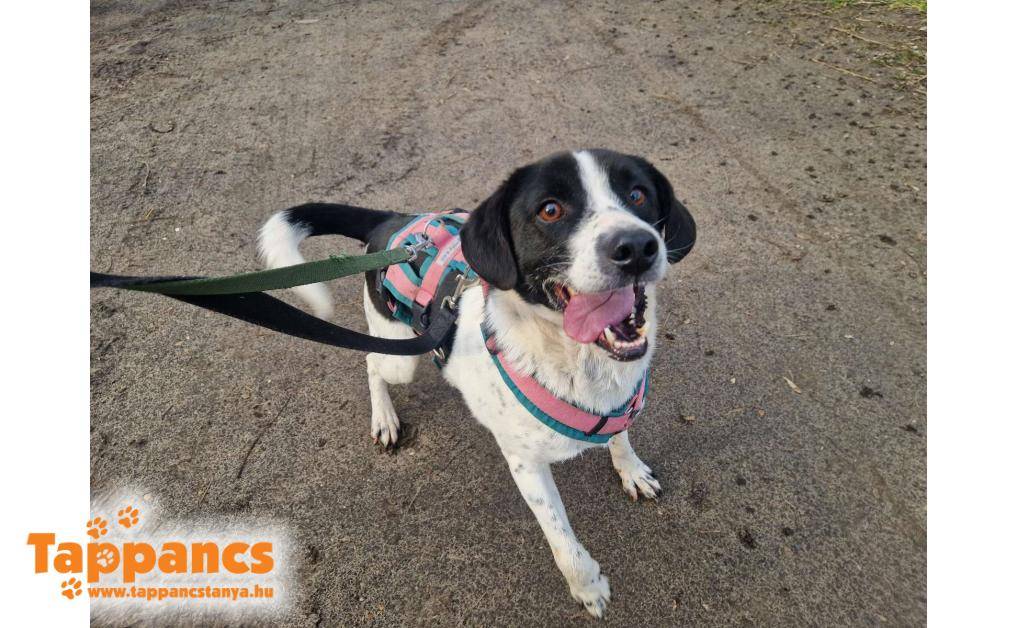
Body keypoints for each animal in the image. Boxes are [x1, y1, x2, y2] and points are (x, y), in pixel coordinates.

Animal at [257, 149, 696, 617]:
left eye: (638, 194)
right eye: (550, 209)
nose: (636, 248)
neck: (577, 360)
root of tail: (393, 222)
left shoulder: (620, 400)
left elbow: (620, 436)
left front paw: (630, 470)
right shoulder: (526, 465)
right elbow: (562, 539)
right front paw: (588, 585)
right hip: (399, 355)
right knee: (372, 362)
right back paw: (384, 418)